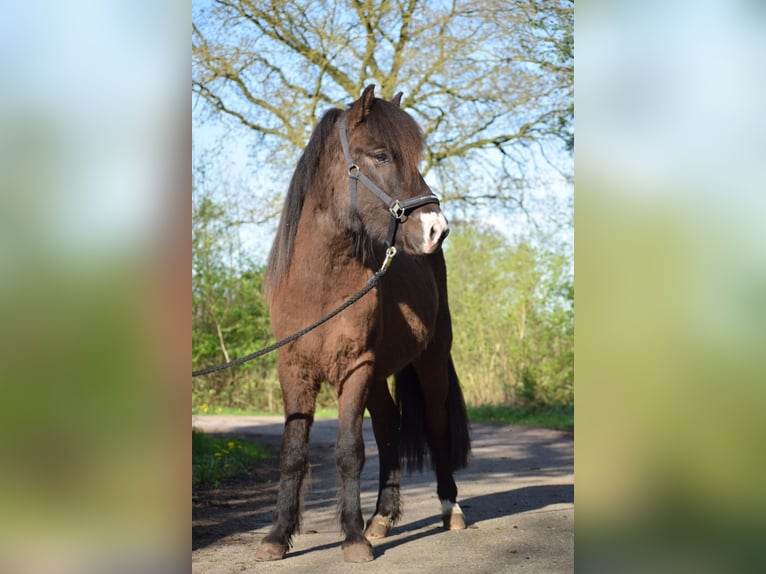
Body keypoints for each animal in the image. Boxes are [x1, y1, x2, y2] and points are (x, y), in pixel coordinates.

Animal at [258, 86, 472, 568]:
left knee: (435, 426)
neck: (319, 285)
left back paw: (449, 509)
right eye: (380, 154)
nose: (437, 229)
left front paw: (353, 538)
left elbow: (350, 452)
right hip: (379, 375)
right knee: (389, 429)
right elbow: (292, 452)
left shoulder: (354, 368)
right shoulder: (294, 370)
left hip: (430, 361)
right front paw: (278, 536)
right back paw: (382, 517)